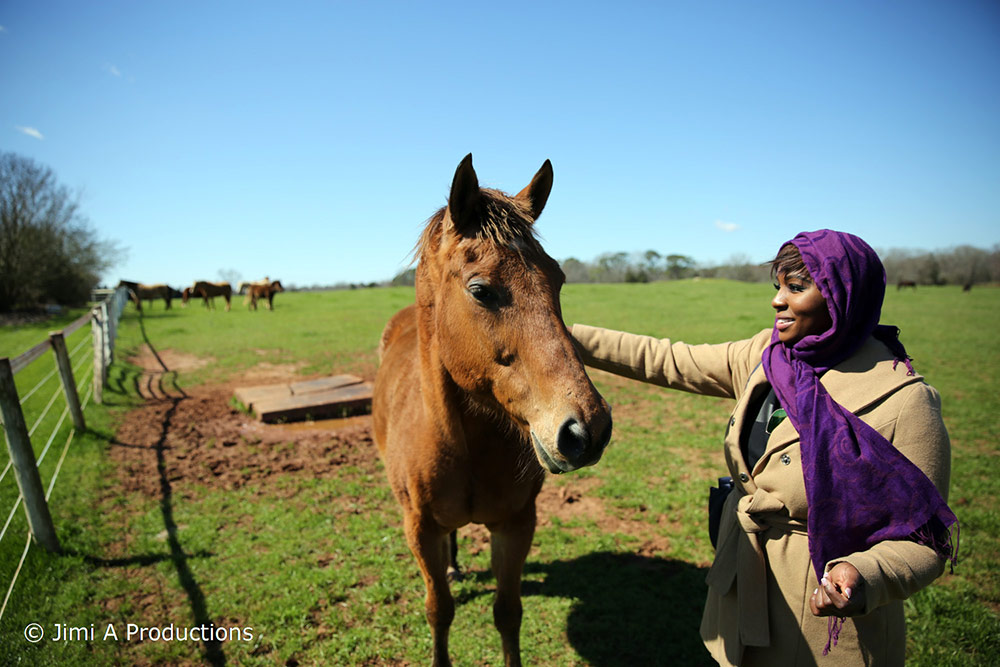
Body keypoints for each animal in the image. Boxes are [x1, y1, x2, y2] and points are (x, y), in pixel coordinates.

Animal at [374, 157, 612, 667]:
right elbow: (438, 610)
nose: (588, 429)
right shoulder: (419, 528)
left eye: (558, 279)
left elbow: (508, 612)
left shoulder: (516, 524)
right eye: (481, 289)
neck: (462, 447)